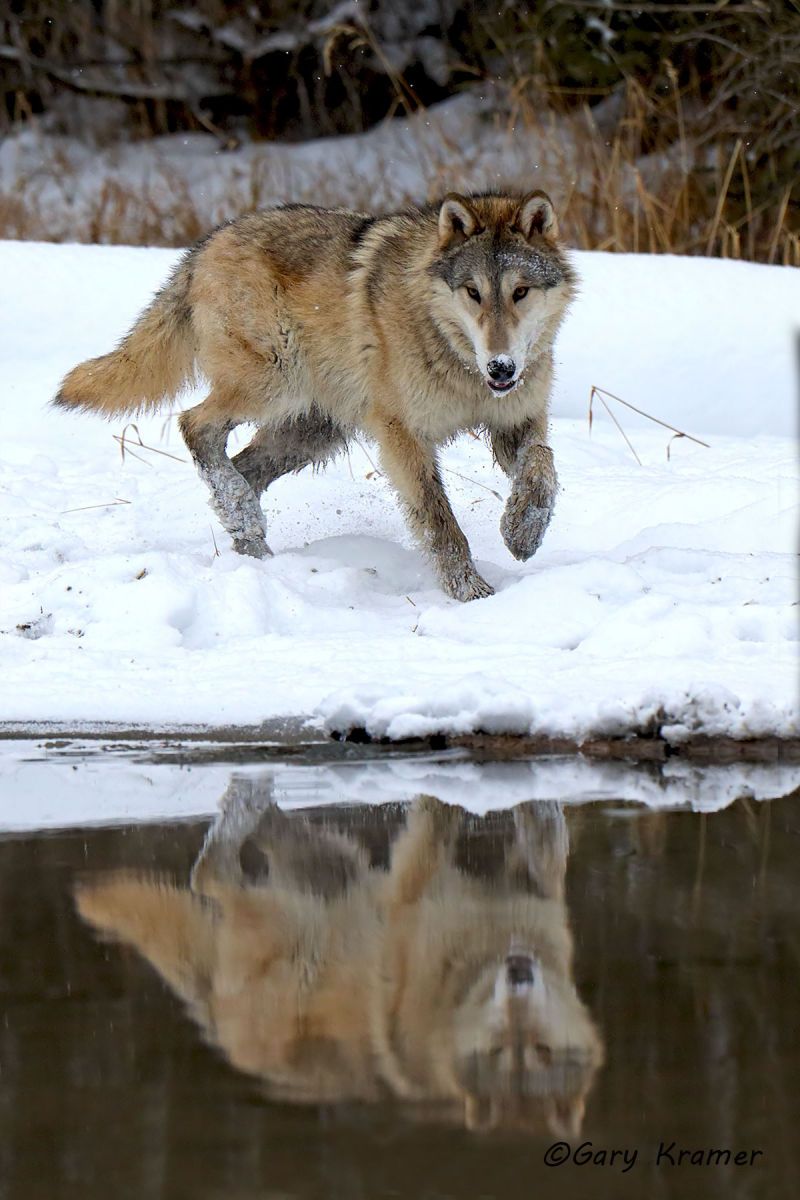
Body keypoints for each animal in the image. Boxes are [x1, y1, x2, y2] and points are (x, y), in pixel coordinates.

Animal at [55, 192, 576, 600]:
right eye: (473, 292)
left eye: (520, 292)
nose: (502, 367)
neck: (465, 368)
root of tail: (202, 247)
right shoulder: (402, 434)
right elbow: (438, 520)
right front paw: (469, 592)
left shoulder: (517, 421)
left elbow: (543, 469)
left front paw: (522, 534)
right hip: (273, 384)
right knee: (194, 424)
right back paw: (248, 526)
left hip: (313, 432)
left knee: (242, 469)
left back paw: (252, 541)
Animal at [75, 787, 603, 1135]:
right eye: (498, 1050)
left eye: (542, 1050)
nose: (518, 973)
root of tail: (218, 1031)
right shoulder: (412, 891)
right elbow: (437, 822)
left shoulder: (534, 893)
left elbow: (544, 831)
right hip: (284, 919)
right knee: (207, 875)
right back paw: (246, 801)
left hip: (330, 867)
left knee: (245, 844)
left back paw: (253, 797)